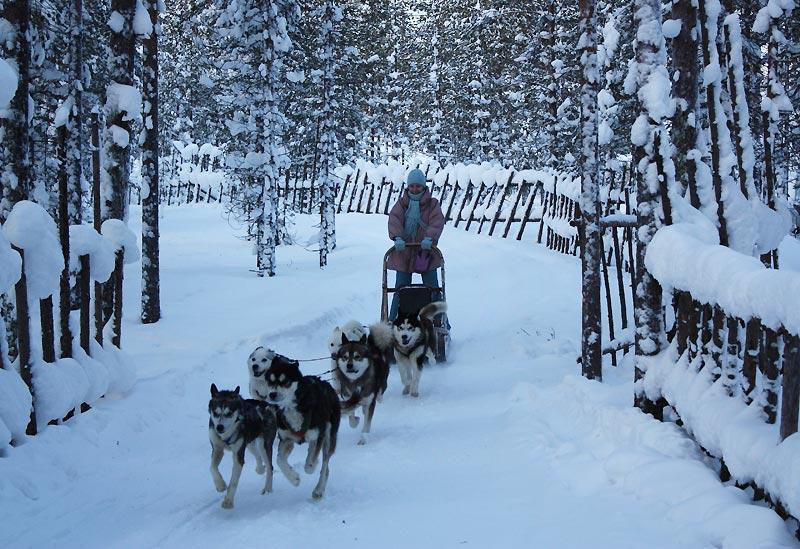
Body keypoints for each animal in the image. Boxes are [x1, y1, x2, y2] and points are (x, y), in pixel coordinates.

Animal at [260, 358, 340, 498]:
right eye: (270, 381)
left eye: (285, 381)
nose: (272, 394)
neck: (292, 408)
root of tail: (327, 384)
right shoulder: (286, 439)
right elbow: (279, 460)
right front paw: (294, 478)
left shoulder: (319, 434)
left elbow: (310, 465)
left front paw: (311, 467)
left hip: (329, 436)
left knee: (325, 465)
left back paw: (319, 489)